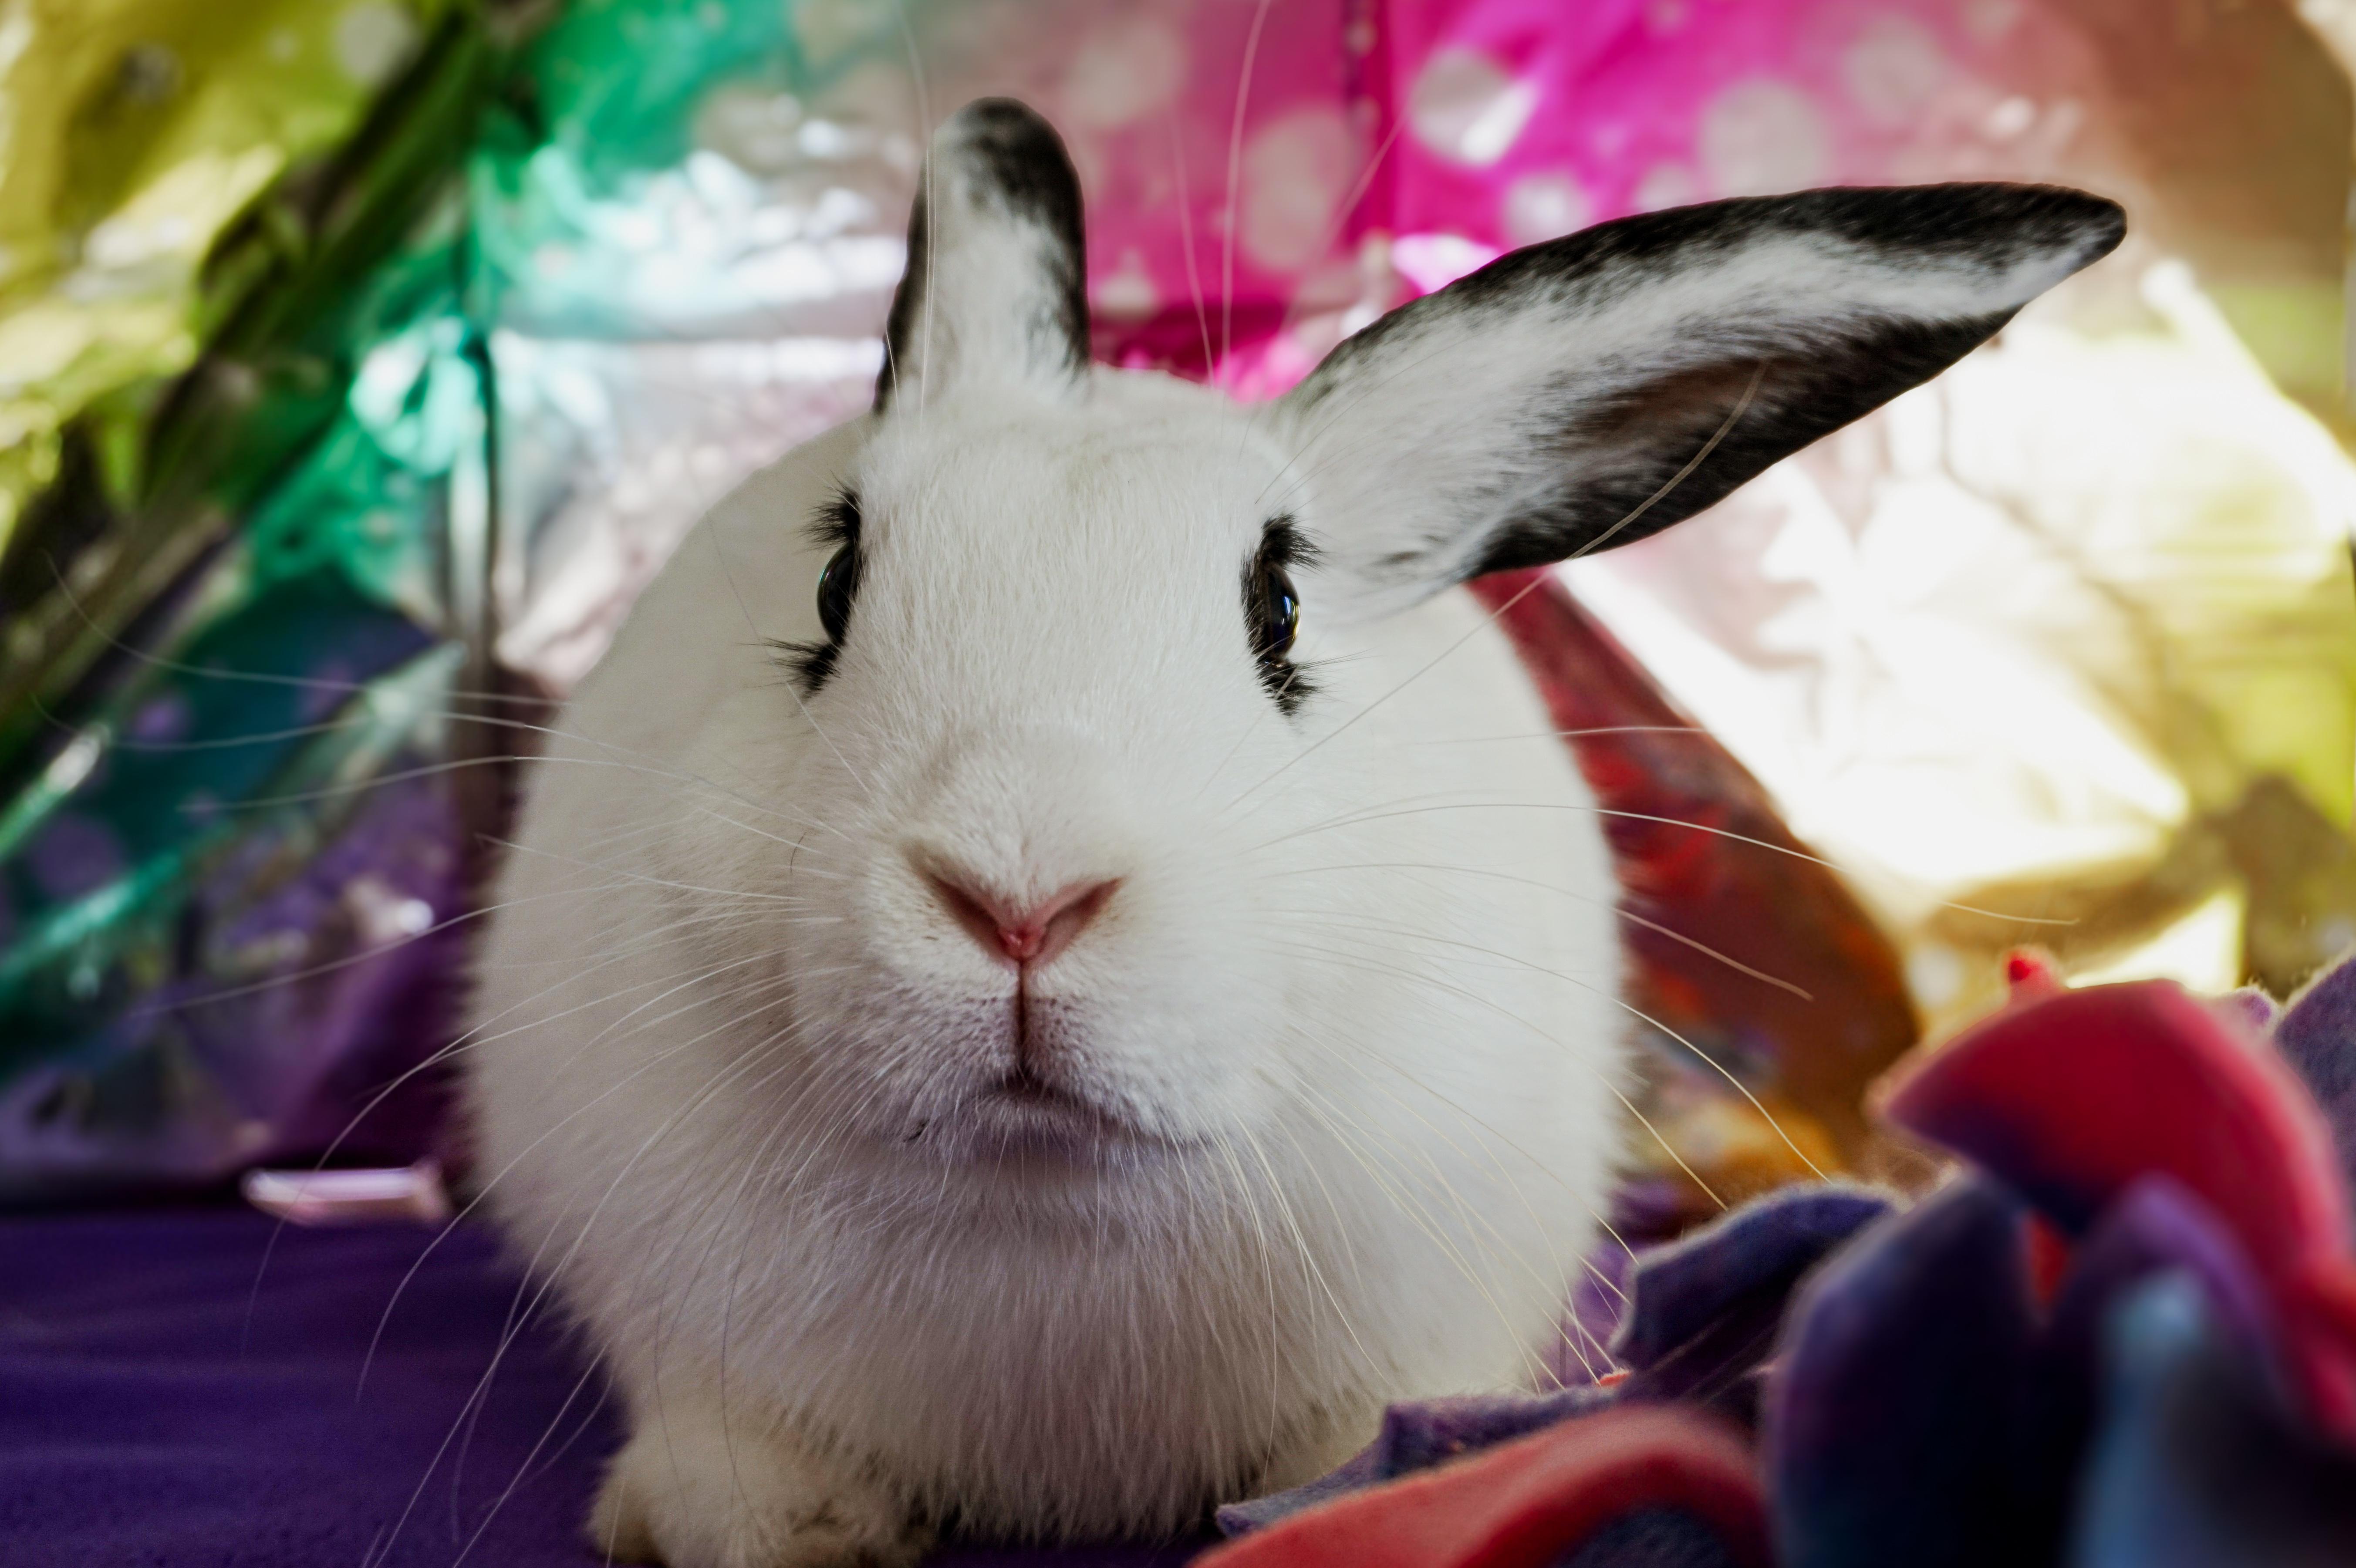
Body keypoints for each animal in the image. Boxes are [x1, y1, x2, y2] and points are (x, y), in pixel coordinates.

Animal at [465, 97, 2122, 1568]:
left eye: (1279, 609)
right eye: (832, 587)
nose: (1020, 896)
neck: (1048, 1201)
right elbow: (737, 1459)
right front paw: (776, 1530)